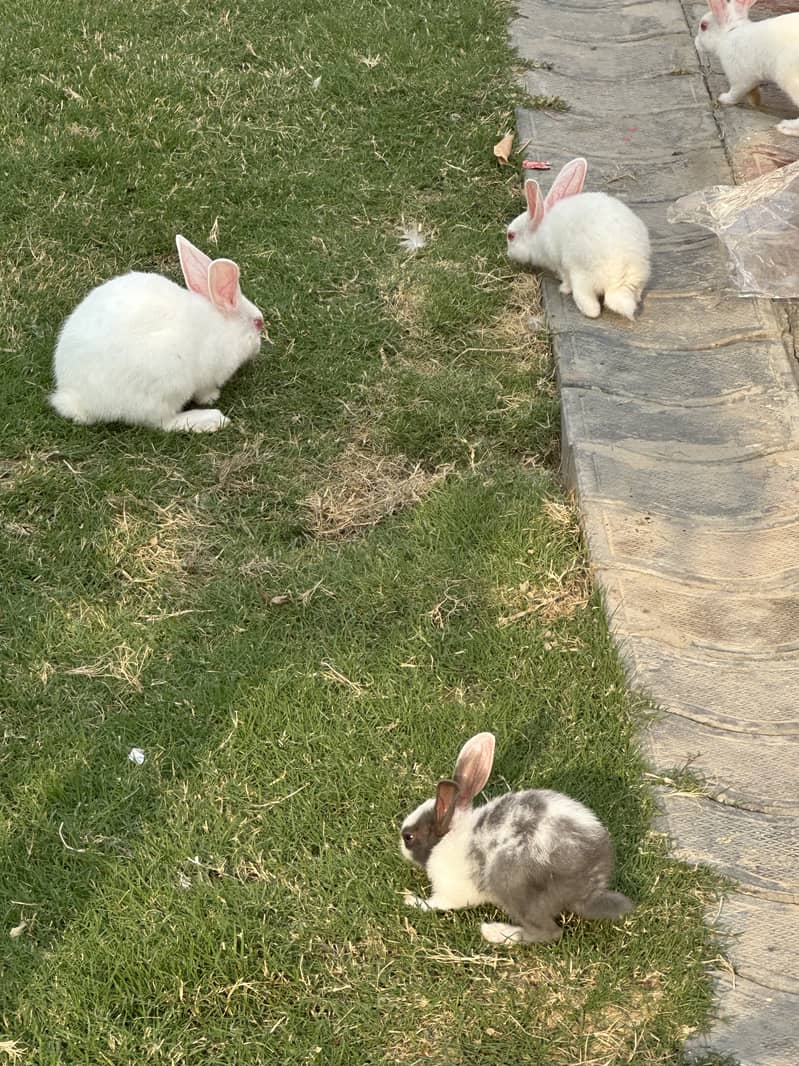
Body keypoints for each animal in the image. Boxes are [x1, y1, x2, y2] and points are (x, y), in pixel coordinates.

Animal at [50, 235, 264, 432]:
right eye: (258, 323)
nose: (259, 346)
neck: (223, 326)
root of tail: (76, 399)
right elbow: (204, 391)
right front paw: (212, 397)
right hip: (168, 385)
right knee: (162, 422)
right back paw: (211, 419)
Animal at [399, 732, 632, 944]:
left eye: (409, 837)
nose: (400, 843)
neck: (447, 836)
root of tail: (590, 889)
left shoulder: (449, 893)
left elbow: (435, 904)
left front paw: (411, 900)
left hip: (512, 885)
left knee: (548, 932)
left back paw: (494, 932)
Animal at [506, 157, 650, 321]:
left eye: (511, 236)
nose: (508, 254)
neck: (539, 232)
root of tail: (619, 281)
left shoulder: (560, 265)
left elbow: (565, 278)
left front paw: (563, 288)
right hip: (640, 276)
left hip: (582, 277)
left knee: (591, 307)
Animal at [695, 0, 799, 136]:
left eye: (703, 26)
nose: (695, 43)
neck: (729, 33)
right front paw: (755, 101)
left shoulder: (741, 78)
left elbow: (736, 92)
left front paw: (724, 98)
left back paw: (786, 127)